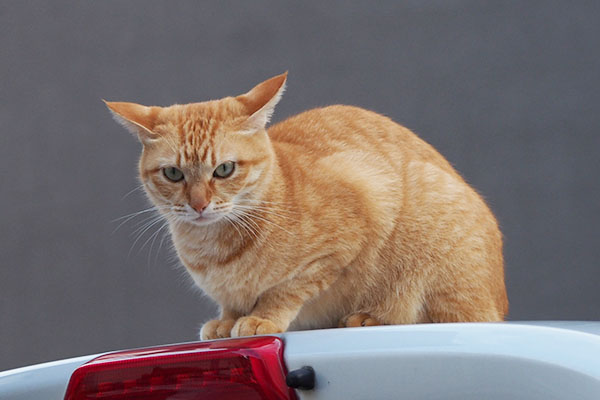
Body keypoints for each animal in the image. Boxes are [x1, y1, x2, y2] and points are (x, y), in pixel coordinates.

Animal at [106, 70, 506, 340]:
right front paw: (227, 319)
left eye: (224, 169)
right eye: (173, 173)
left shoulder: (352, 223)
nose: (199, 205)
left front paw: (261, 317)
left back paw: (369, 317)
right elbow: (232, 303)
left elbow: (286, 289)